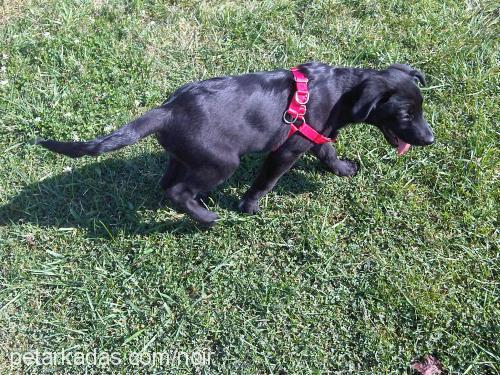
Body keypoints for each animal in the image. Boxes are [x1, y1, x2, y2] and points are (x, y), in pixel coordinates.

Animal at [39, 62, 434, 226]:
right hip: (221, 162)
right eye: (404, 115)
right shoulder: (287, 148)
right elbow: (265, 181)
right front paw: (250, 208)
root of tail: (166, 111)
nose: (430, 139)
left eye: (421, 109)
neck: (342, 90)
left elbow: (328, 151)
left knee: (168, 183)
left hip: (184, 156)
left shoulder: (316, 135)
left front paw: (343, 169)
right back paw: (207, 218)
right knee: (179, 191)